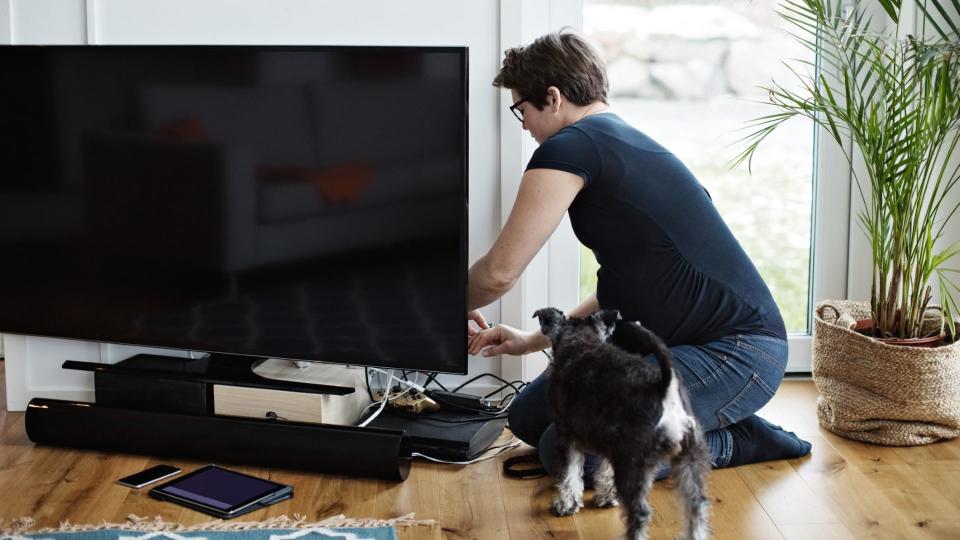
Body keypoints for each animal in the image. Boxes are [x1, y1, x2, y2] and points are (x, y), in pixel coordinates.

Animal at [536, 308, 708, 540]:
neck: (580, 342)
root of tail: (665, 389)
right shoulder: (609, 444)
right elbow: (605, 471)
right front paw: (607, 497)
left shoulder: (566, 435)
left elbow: (568, 474)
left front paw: (565, 504)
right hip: (689, 459)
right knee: (696, 507)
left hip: (632, 465)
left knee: (640, 513)